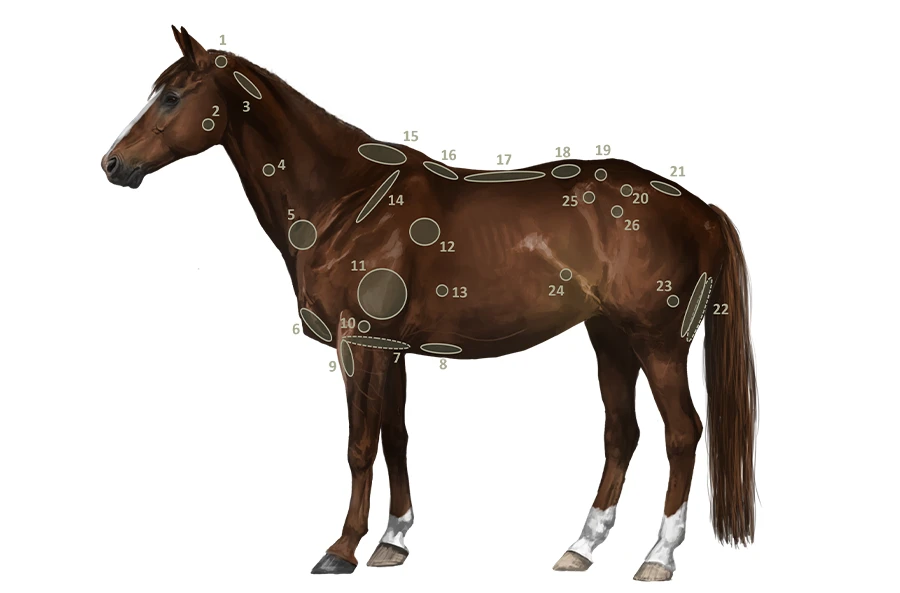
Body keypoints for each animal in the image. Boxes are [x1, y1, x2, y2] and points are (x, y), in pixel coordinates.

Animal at [101, 26, 757, 581]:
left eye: (172, 96)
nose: (112, 164)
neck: (349, 201)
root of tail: (698, 208)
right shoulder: (390, 348)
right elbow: (396, 436)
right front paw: (393, 541)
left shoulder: (360, 342)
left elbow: (359, 445)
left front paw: (342, 550)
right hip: (609, 336)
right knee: (621, 432)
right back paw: (581, 547)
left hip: (657, 340)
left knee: (682, 433)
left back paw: (658, 557)